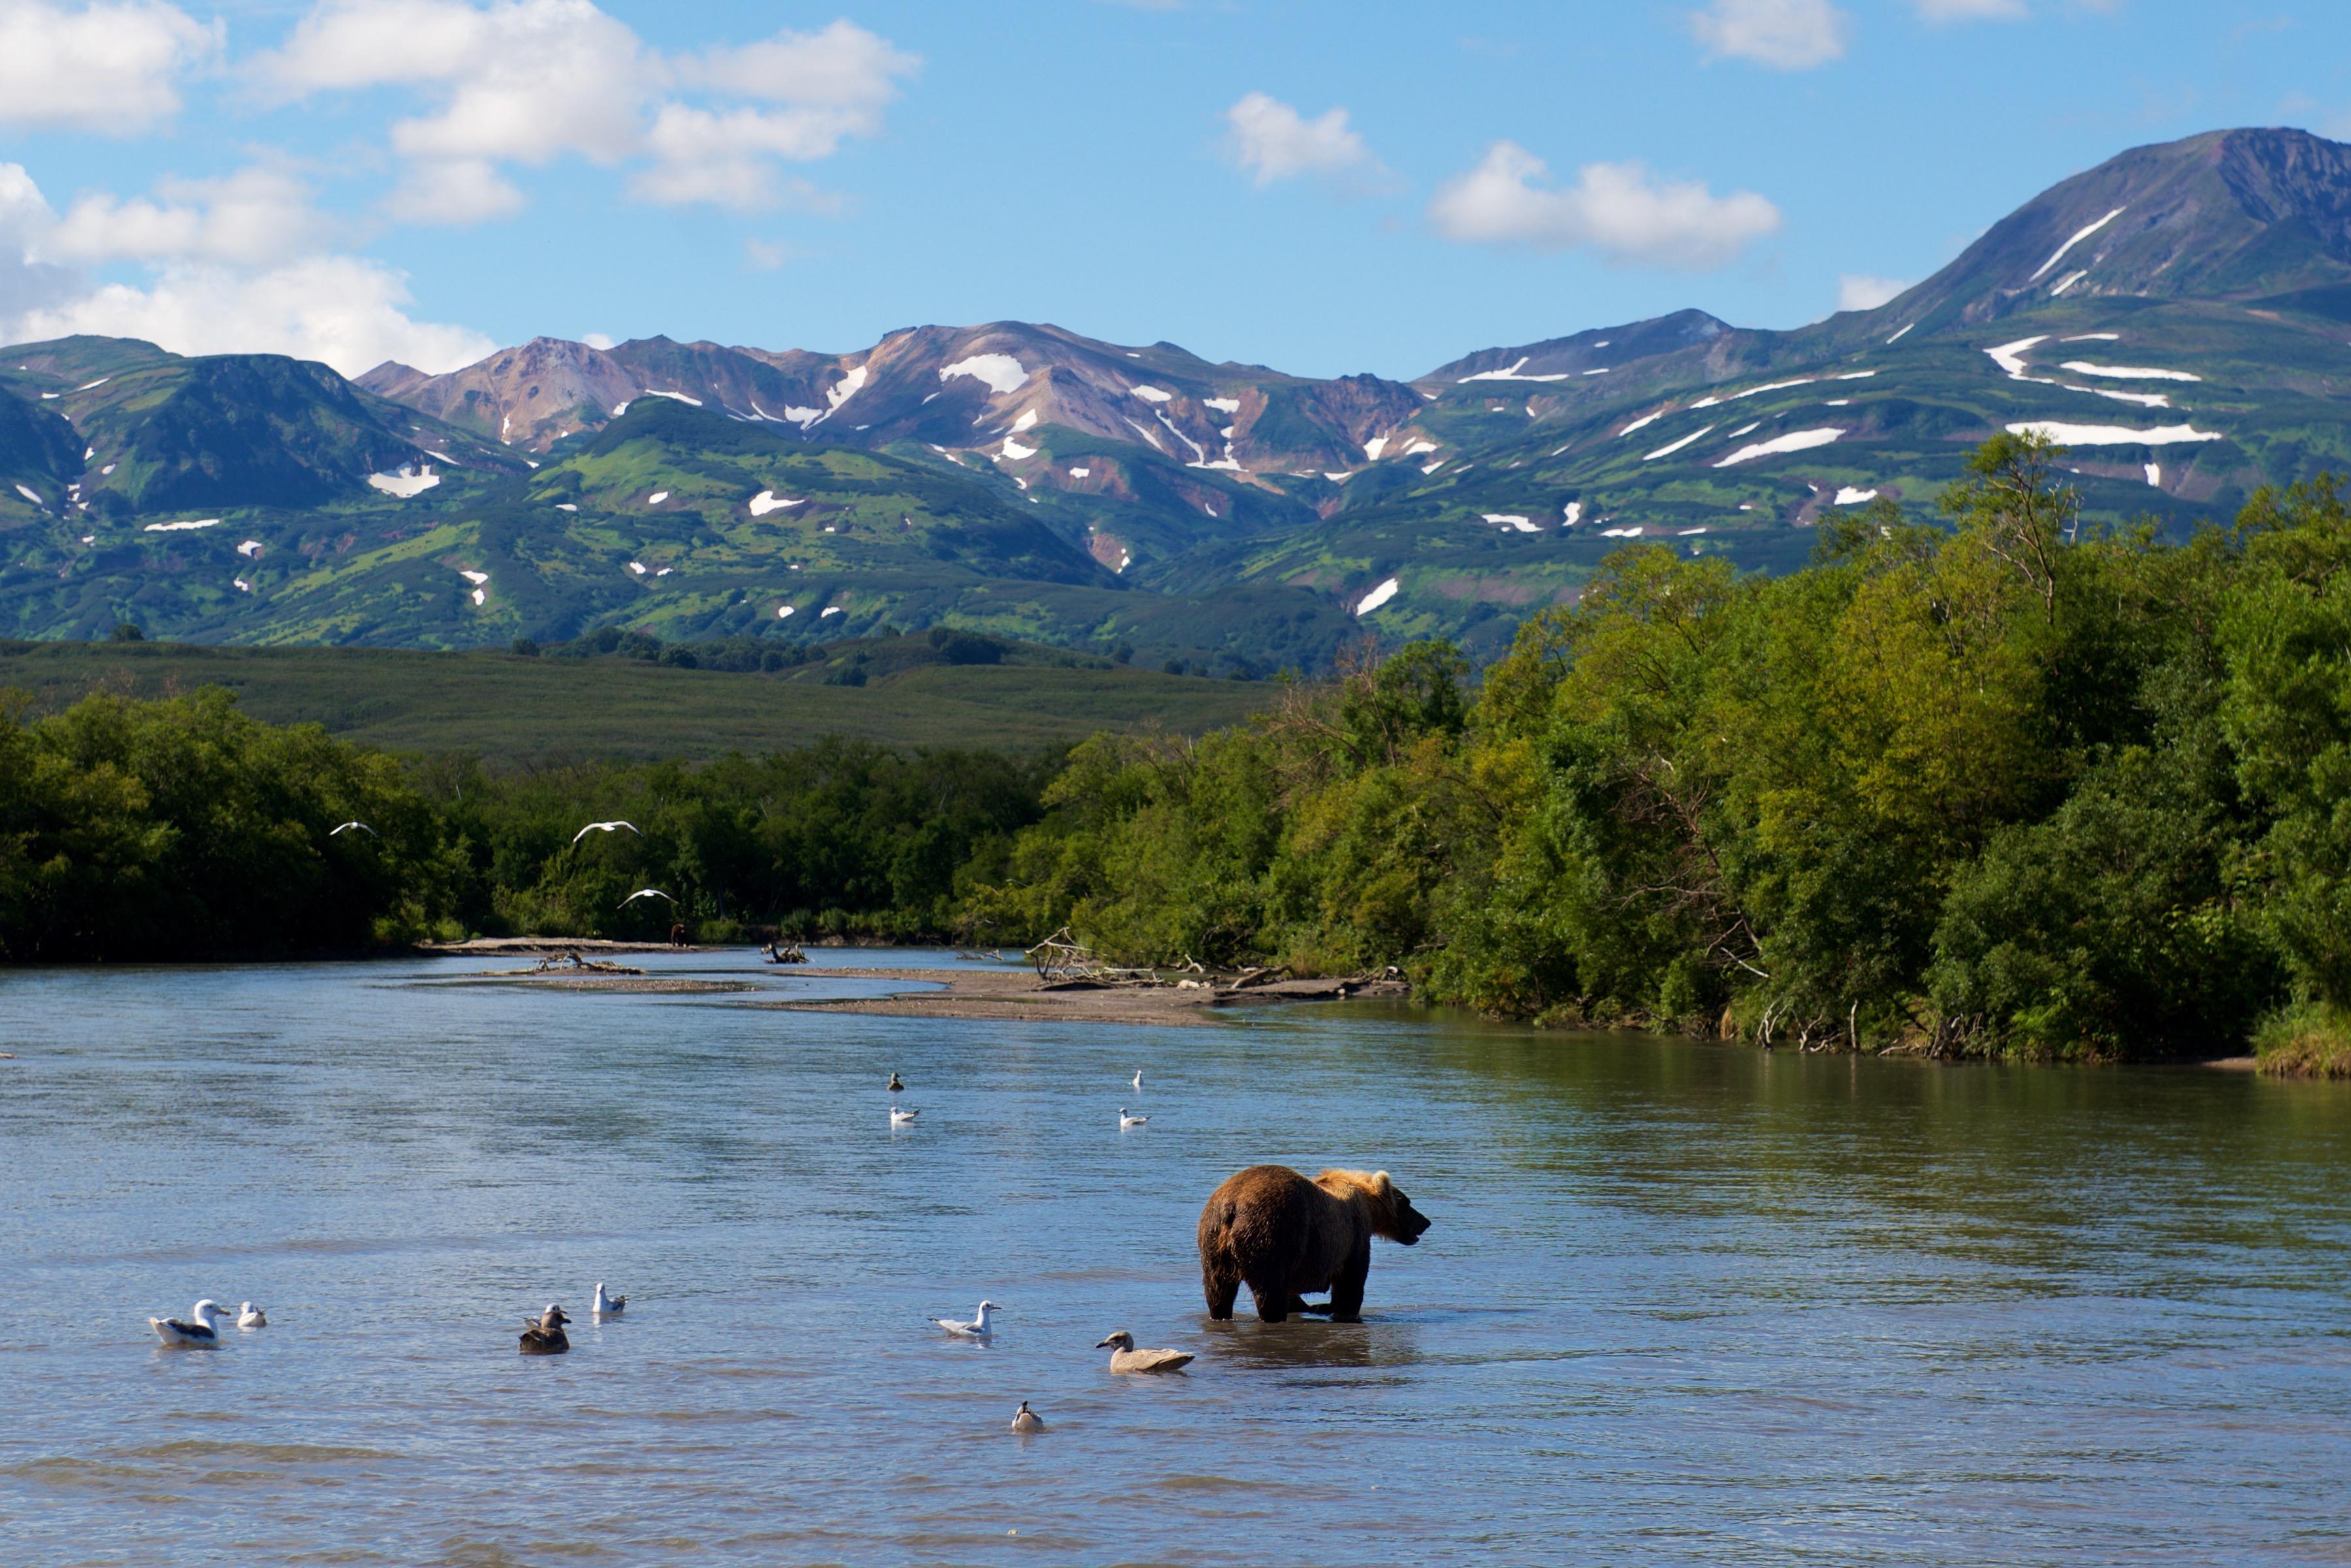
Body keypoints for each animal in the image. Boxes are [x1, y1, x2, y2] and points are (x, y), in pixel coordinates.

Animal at [1194, 1166, 1429, 1326]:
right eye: (1407, 1202)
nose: (1426, 1222)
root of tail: (1232, 1207)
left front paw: (1318, 1307)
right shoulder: (1353, 1235)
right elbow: (1351, 1283)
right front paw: (1343, 1312)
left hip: (1212, 1240)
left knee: (1218, 1291)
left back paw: (1220, 1314)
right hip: (1271, 1233)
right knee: (1269, 1292)